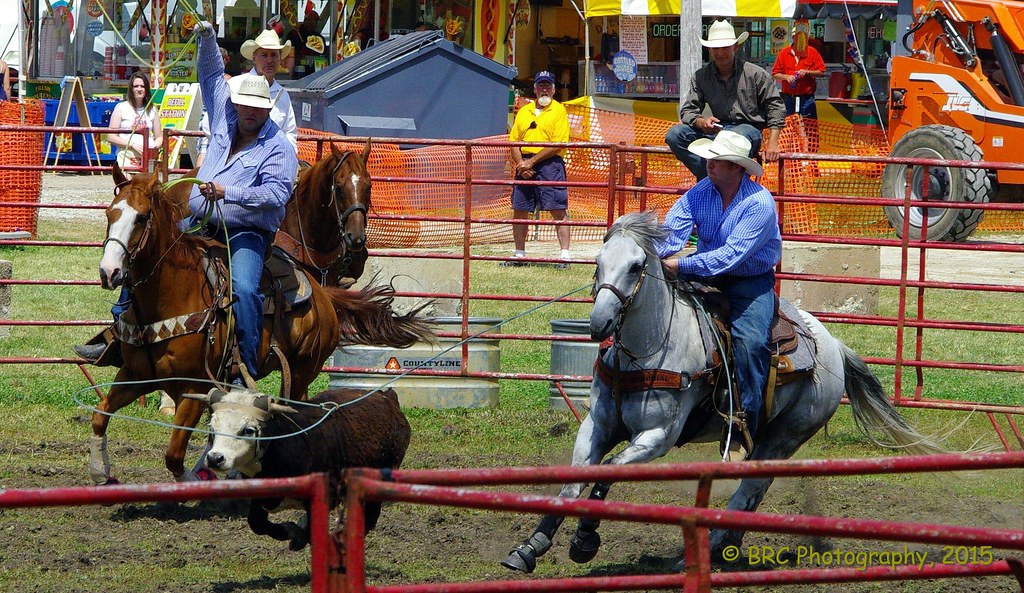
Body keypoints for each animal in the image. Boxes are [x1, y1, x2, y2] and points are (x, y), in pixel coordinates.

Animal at [184, 386, 411, 550]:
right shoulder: (260, 497)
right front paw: (291, 530)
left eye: (248, 430)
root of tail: (387, 397)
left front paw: (300, 536)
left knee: (369, 518)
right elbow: (257, 524)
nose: (215, 458)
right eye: (212, 428)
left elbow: (312, 531)